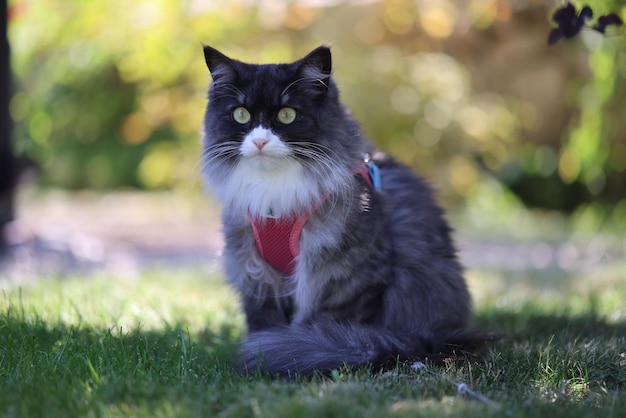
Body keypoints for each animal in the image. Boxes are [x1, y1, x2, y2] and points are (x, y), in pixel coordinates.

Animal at [202, 45, 486, 378]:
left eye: (287, 115)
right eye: (241, 114)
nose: (260, 141)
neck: (276, 196)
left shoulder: (345, 276)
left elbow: (326, 325)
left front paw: (300, 353)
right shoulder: (257, 278)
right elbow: (265, 325)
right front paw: (263, 360)